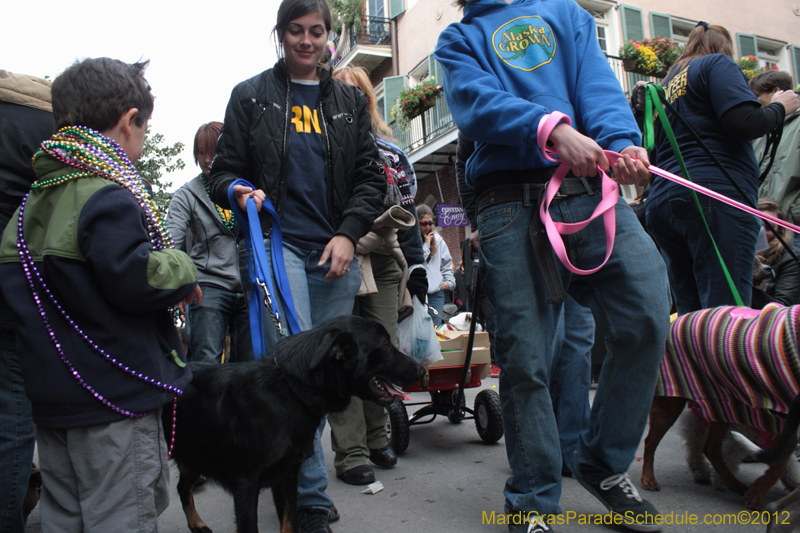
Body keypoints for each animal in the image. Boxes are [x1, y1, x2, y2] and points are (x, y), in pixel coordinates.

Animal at [162, 316, 424, 532]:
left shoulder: (287, 476)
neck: (291, 387)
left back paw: (196, 523)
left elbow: (290, 524)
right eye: (385, 345)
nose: (422, 370)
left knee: (182, 487)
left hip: (193, 455)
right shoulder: (246, 485)